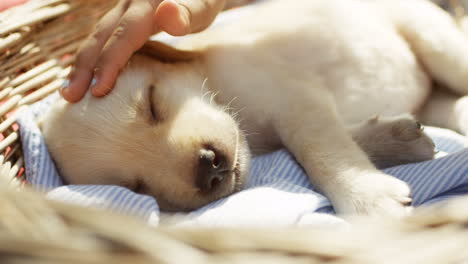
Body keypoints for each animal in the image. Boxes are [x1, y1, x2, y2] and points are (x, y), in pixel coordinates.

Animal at [42, 0, 466, 217]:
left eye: (152, 103)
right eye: (136, 186)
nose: (207, 166)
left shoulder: (293, 97)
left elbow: (320, 150)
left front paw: (365, 196)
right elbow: (331, 141)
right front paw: (396, 139)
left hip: (435, 42)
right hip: (438, 98)